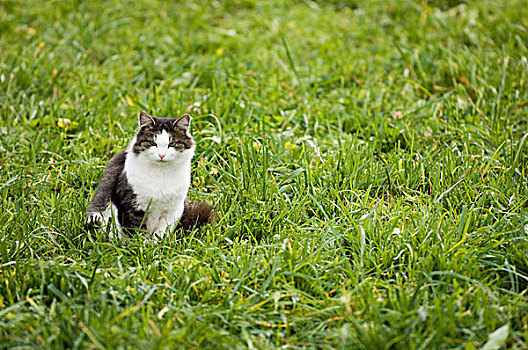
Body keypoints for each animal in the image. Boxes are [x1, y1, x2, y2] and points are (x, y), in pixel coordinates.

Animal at [86, 110, 212, 239]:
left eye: (172, 144)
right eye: (152, 143)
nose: (161, 155)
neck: (162, 173)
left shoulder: (173, 210)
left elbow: (161, 233)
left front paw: (156, 243)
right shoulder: (133, 207)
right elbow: (138, 231)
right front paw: (142, 242)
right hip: (99, 216)